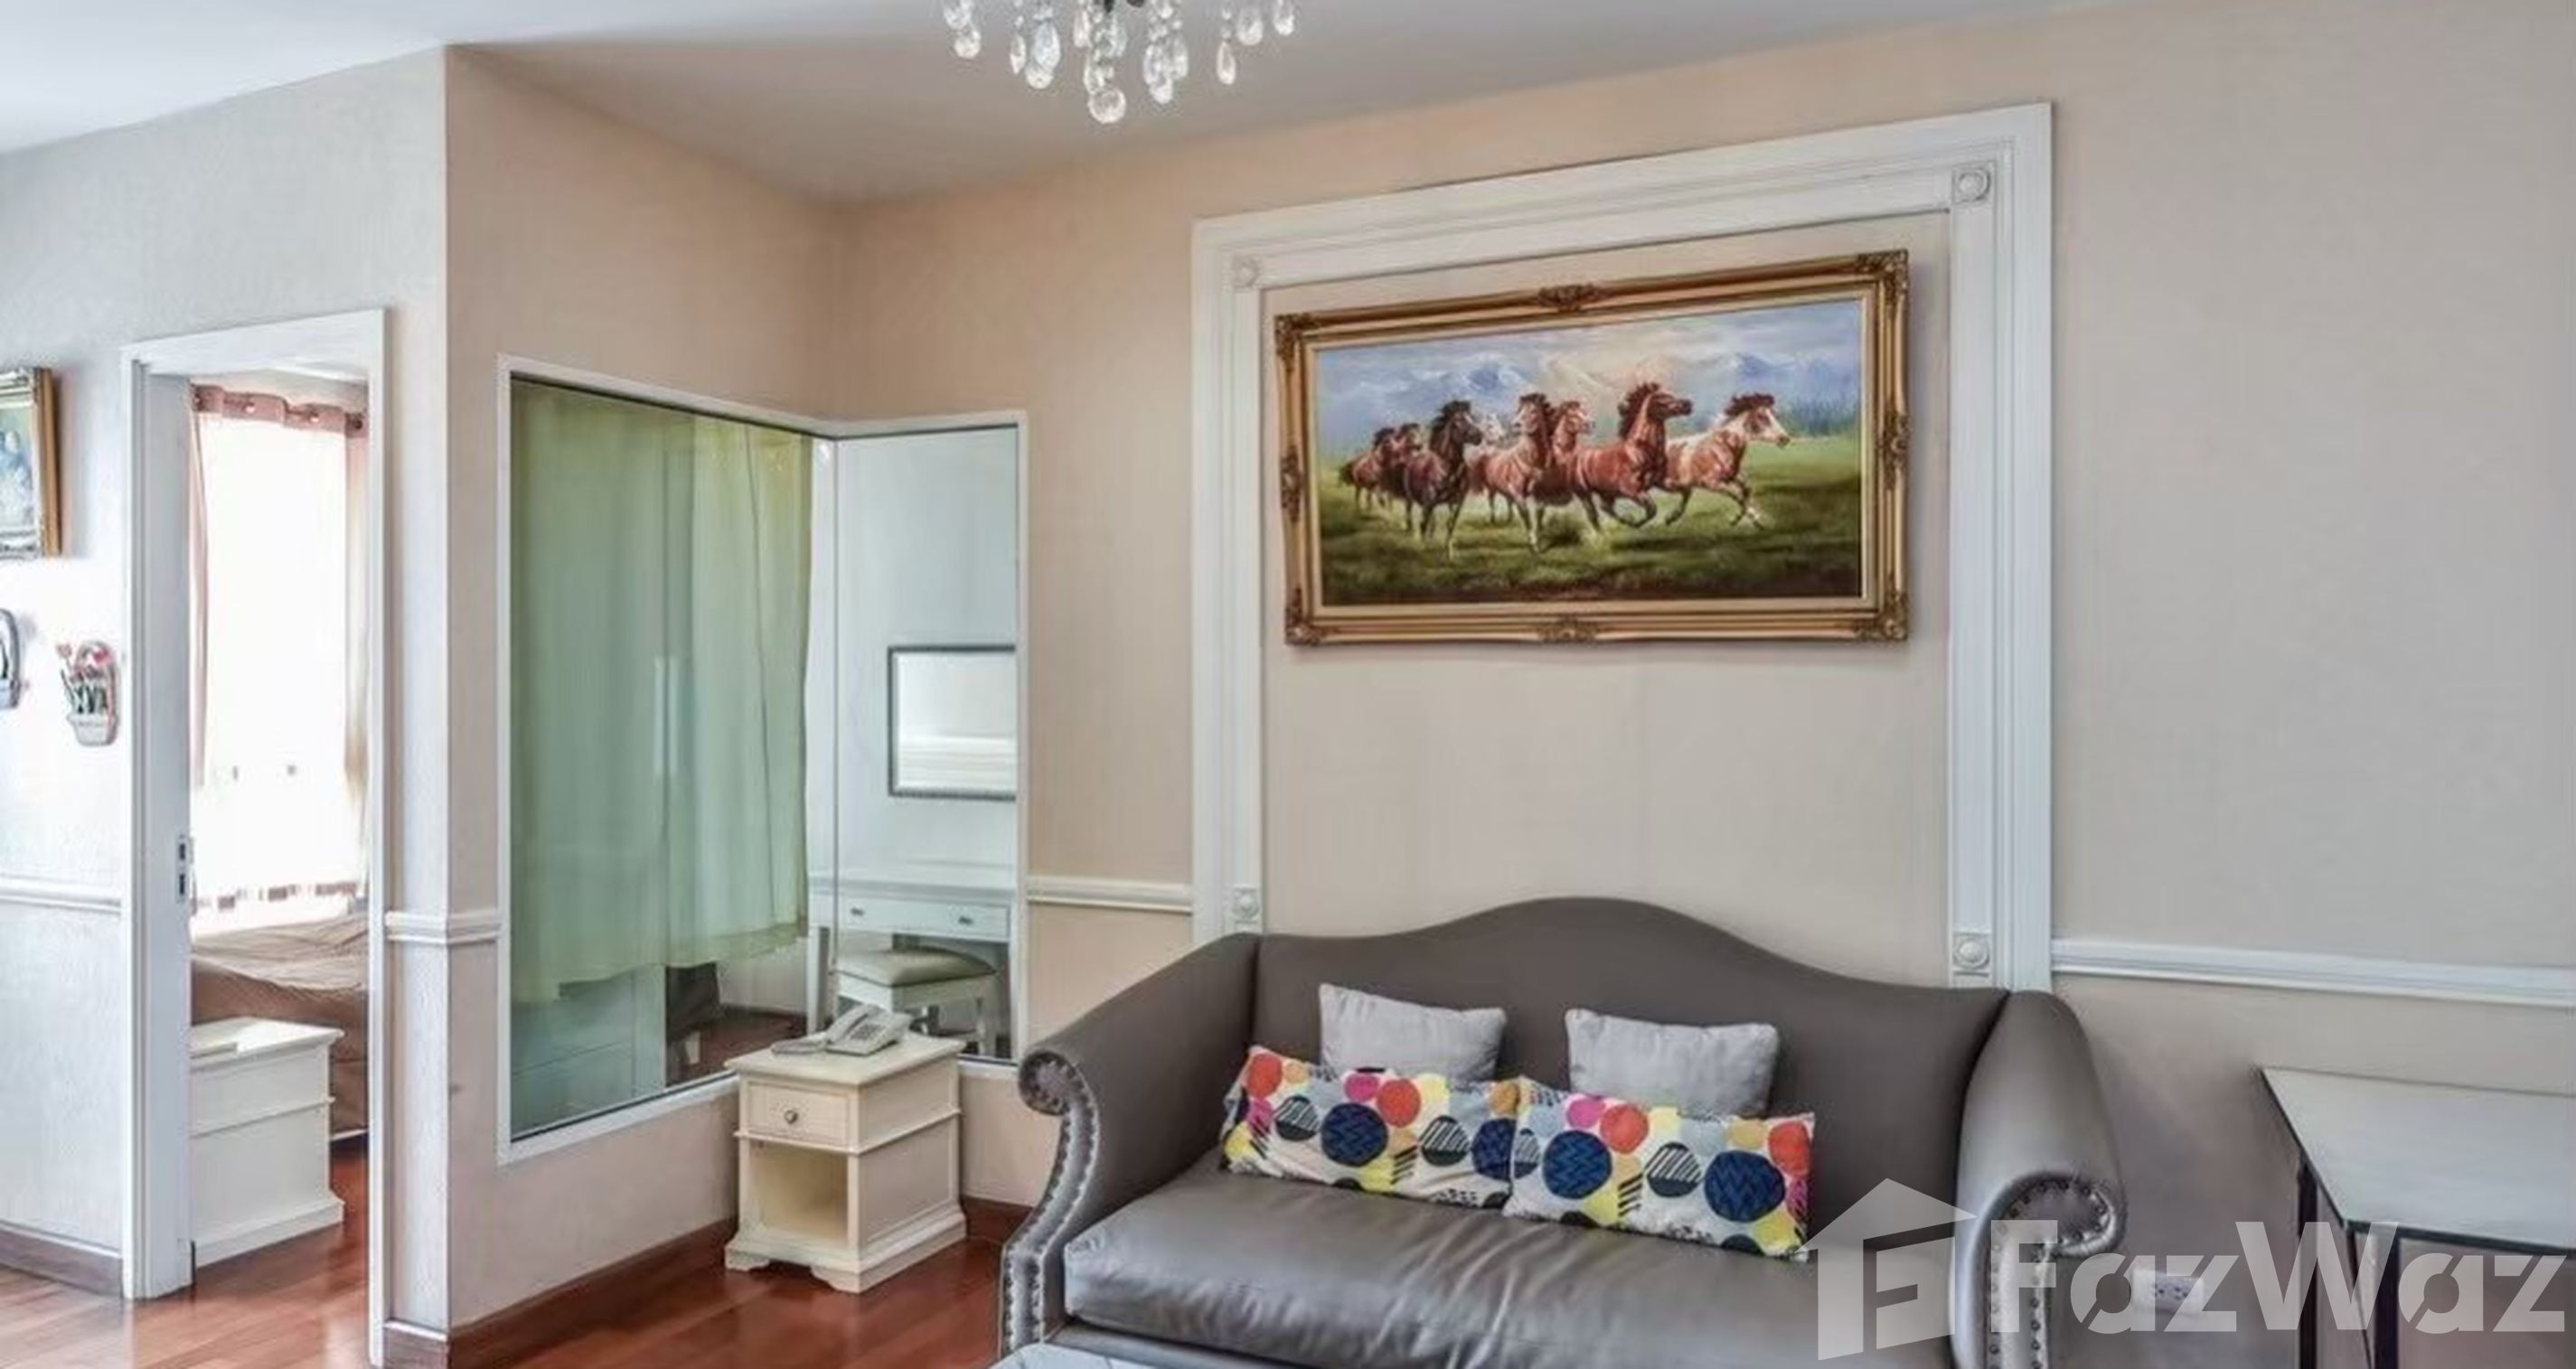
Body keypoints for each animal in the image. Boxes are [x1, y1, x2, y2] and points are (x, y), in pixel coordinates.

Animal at [1400, 400, 1481, 555]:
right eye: (1457, 422)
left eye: (1472, 418)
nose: (1479, 436)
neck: (1448, 470)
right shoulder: (1428, 501)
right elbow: (1423, 524)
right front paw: (1422, 550)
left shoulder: (1456, 503)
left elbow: (1450, 525)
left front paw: (1449, 553)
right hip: (1410, 498)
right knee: (1412, 517)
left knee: (1432, 520)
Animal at [1571, 382, 1693, 531]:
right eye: (1661, 398)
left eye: (1671, 394)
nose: (1688, 404)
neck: (1641, 451)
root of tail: (1577, 456)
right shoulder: (1630, 489)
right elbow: (1652, 509)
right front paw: (1637, 524)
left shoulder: (1659, 481)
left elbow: (1686, 490)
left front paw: (1671, 518)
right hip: (1584, 493)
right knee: (1592, 514)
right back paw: (1606, 532)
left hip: (1607, 492)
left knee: (1605, 508)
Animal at [1661, 392, 1792, 526]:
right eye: (1761, 416)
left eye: (1775, 415)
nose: (1784, 438)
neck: (1722, 446)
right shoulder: (1711, 483)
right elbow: (1737, 495)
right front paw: (1751, 518)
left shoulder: (1733, 476)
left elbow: (1747, 490)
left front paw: (1740, 518)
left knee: (1685, 495)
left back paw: (1671, 518)